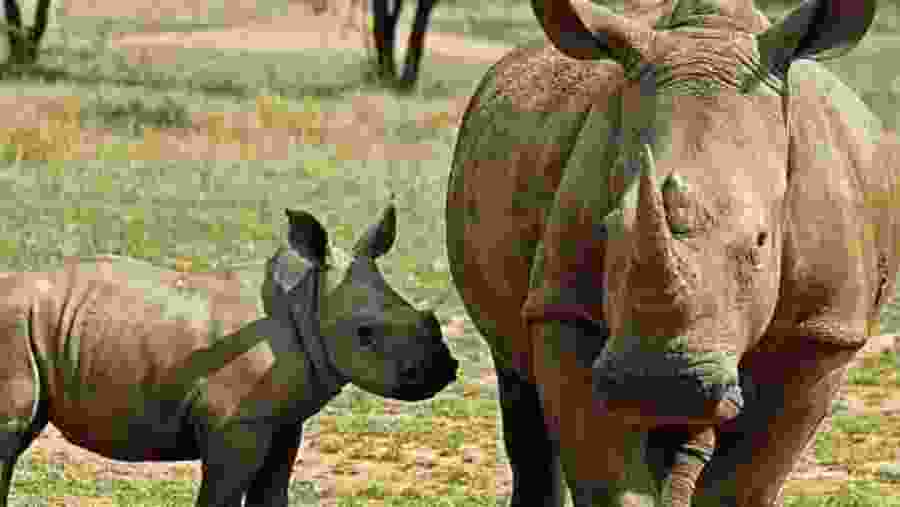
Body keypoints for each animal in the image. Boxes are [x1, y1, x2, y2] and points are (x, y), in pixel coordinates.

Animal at [0, 204, 459, 507]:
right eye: (365, 334)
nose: (443, 369)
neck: (306, 303)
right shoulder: (233, 424)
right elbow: (221, 498)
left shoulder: (282, 421)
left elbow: (272, 495)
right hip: (14, 324)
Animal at [447, 0, 899, 505]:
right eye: (608, 228)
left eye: (762, 241)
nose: (660, 383)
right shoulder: (565, 306)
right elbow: (607, 477)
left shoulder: (822, 330)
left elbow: (745, 483)